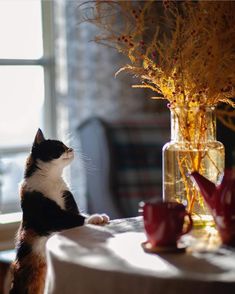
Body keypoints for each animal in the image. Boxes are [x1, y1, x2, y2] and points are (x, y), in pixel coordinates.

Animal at [8, 130, 109, 294]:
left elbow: (77, 213)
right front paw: (94, 218)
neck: (52, 180)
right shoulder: (46, 215)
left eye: (66, 145)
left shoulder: (66, 196)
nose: (71, 149)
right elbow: (72, 218)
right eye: (59, 147)